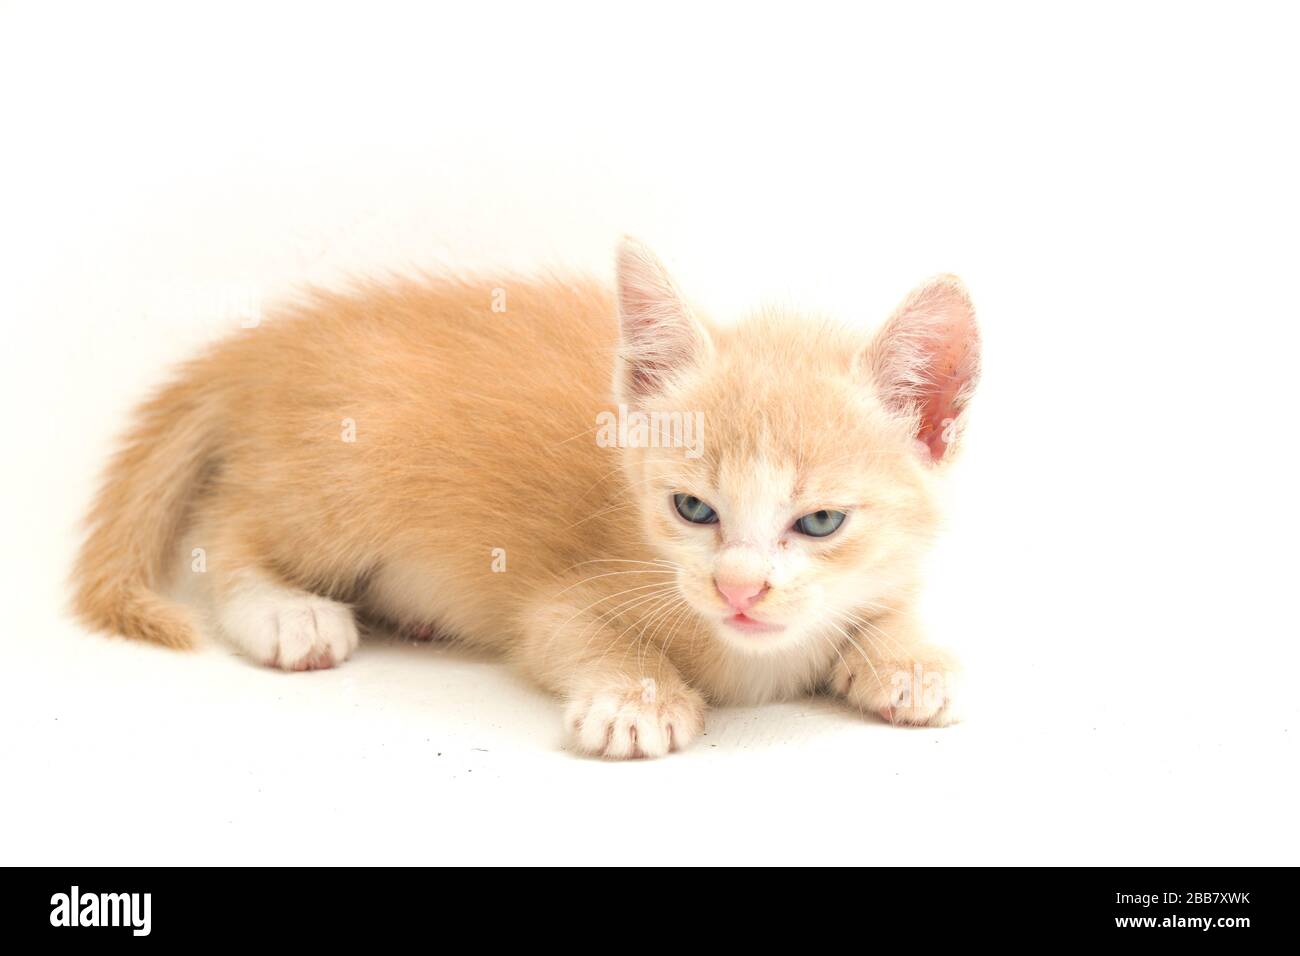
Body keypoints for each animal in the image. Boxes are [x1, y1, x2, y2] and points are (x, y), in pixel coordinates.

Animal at [71, 240, 977, 764]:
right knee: (232, 525)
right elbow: (570, 631)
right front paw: (635, 696)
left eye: (820, 522)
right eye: (693, 510)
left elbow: (886, 605)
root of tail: (272, 343)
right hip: (350, 469)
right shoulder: (565, 595)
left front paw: (908, 660)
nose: (739, 590)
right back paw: (286, 613)